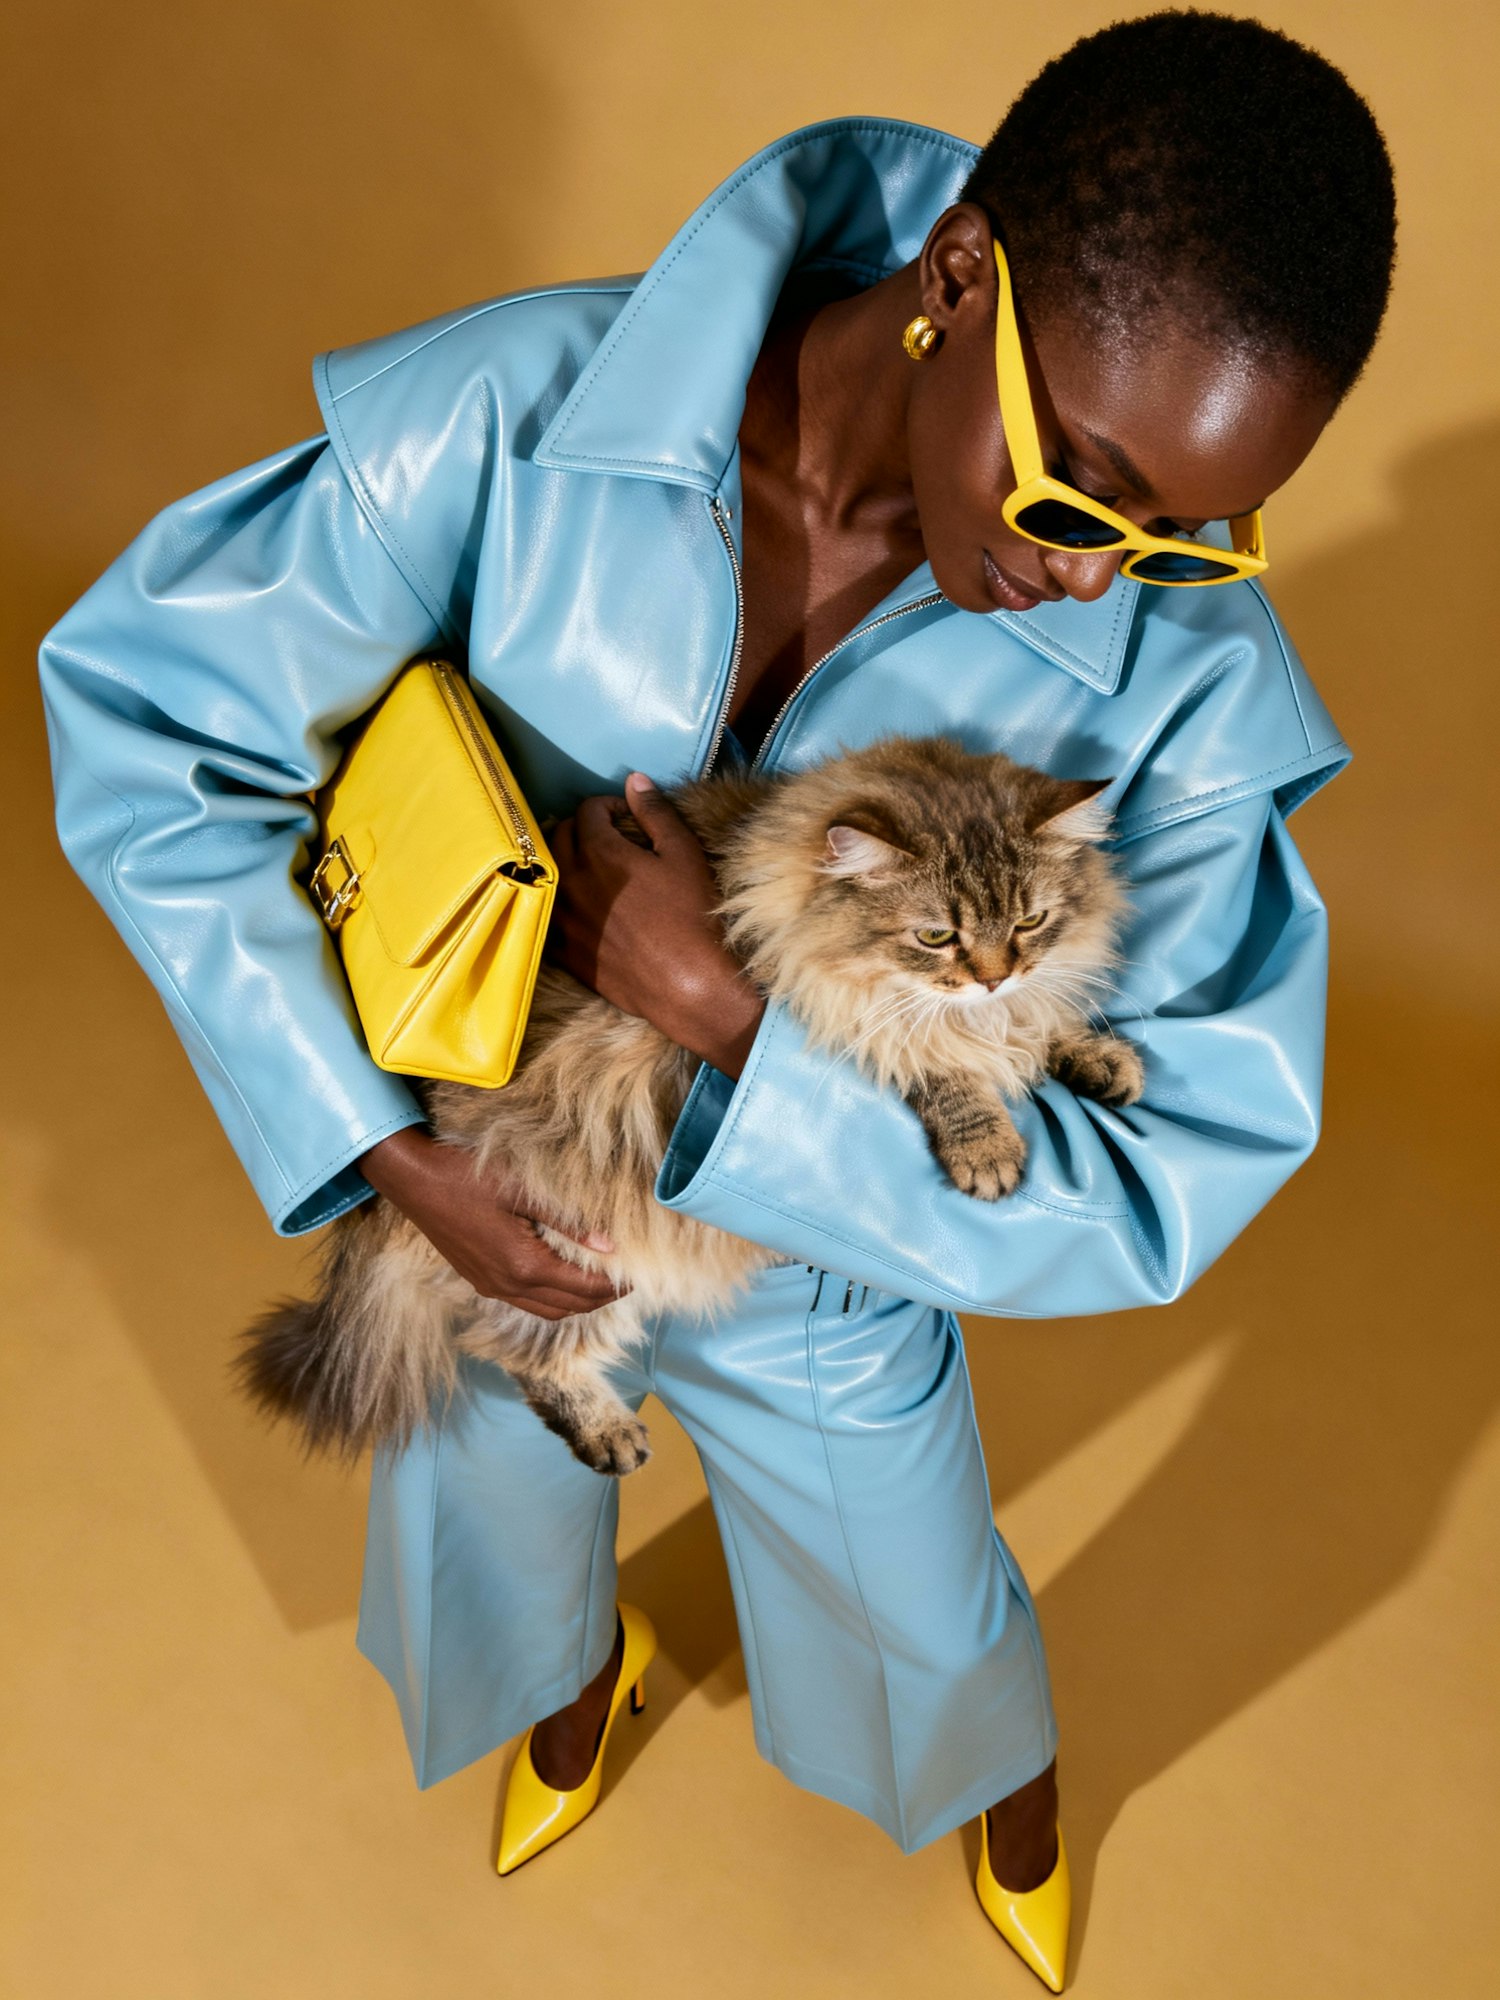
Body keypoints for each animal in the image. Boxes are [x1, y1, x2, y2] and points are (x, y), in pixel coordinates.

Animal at [237, 735, 1143, 1477]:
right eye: (936, 937)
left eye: (1030, 921)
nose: (995, 975)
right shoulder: (846, 1018)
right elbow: (940, 1065)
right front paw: (987, 1144)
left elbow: (1043, 1023)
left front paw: (1095, 1058)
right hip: (584, 1255)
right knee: (513, 1350)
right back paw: (607, 1435)